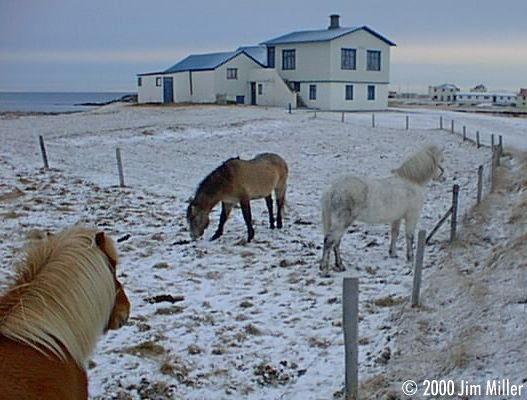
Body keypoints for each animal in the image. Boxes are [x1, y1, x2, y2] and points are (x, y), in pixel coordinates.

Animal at [318, 145, 446, 276]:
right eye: (440, 159)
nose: (443, 176)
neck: (411, 181)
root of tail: (332, 189)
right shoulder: (411, 216)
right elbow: (409, 236)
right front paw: (410, 258)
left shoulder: (397, 218)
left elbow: (394, 233)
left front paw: (393, 253)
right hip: (342, 222)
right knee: (329, 241)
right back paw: (325, 269)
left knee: (336, 241)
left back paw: (339, 265)